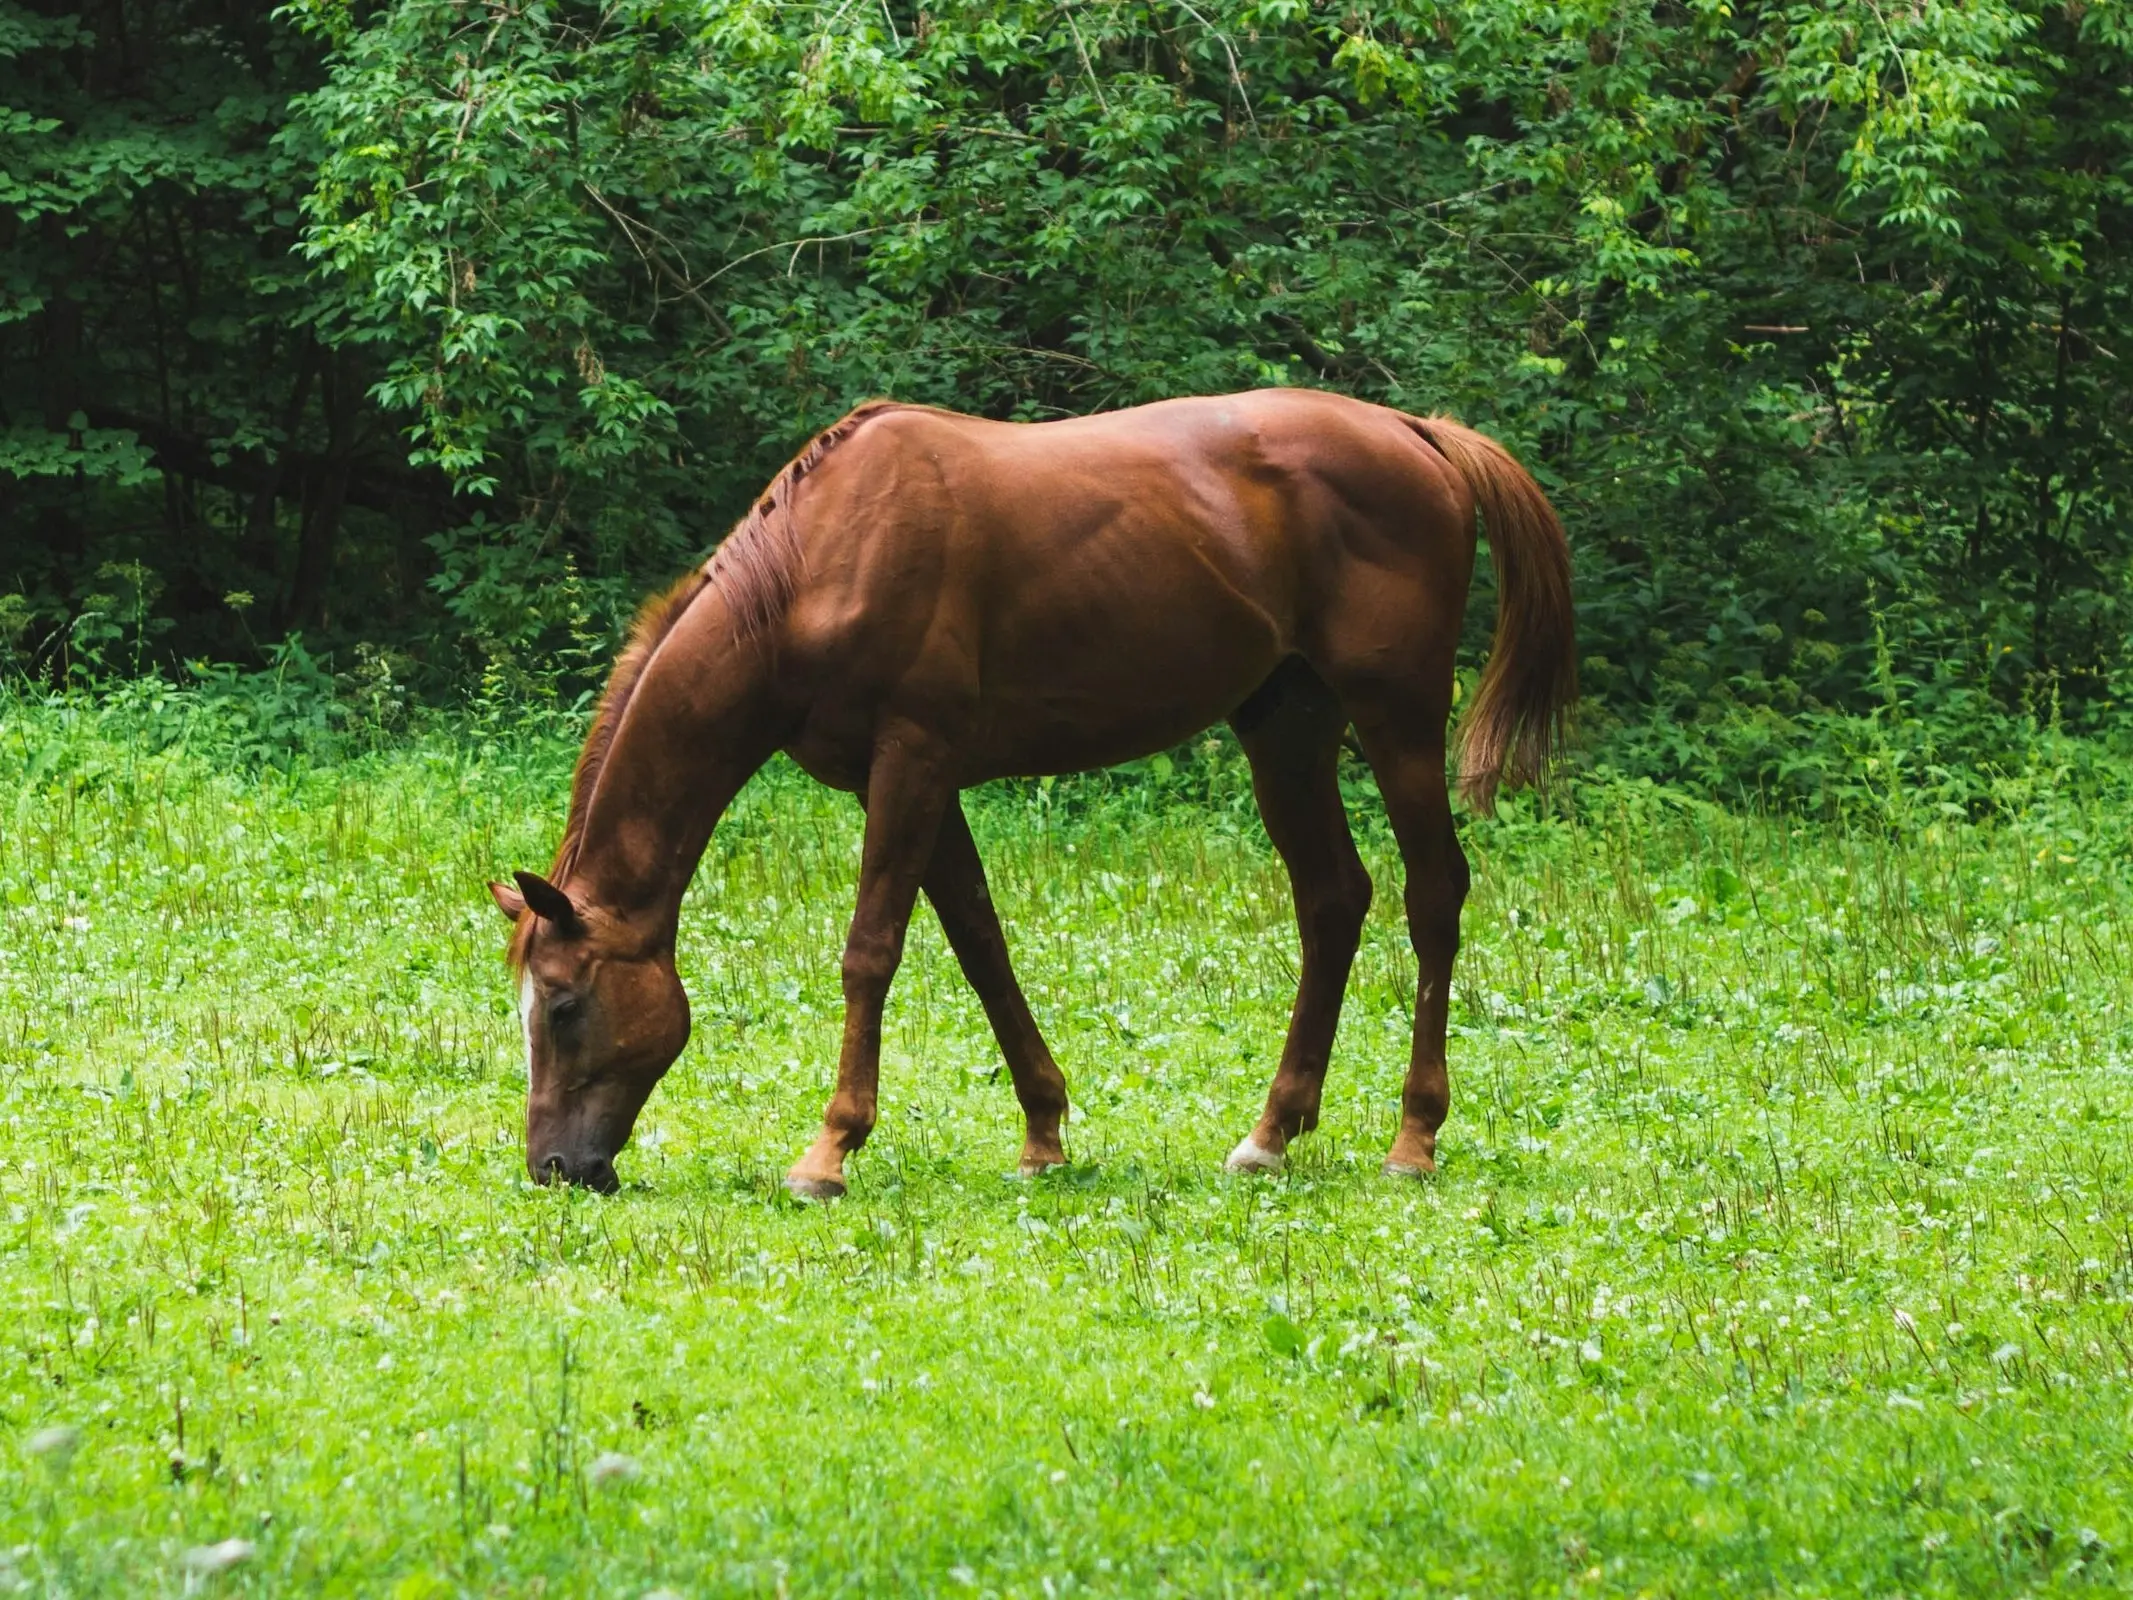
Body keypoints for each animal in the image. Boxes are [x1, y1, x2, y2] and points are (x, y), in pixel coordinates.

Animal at [490, 386, 1578, 1194]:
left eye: (564, 1005)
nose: (556, 1167)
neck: (818, 561)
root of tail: (1418, 433)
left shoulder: (913, 761)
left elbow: (871, 952)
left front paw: (829, 1150)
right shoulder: (912, 783)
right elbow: (981, 944)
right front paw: (1044, 1131)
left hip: (1398, 720)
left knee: (1432, 895)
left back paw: (1414, 1136)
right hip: (1286, 726)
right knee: (1332, 900)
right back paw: (1270, 1132)